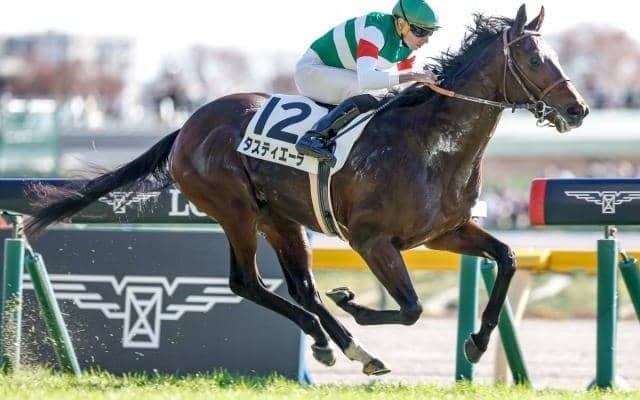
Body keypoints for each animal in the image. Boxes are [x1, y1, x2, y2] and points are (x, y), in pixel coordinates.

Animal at [25, 5, 588, 376]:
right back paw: (344, 341)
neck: (432, 145)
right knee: (247, 284)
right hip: (234, 210)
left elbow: (508, 258)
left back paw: (340, 345)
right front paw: (356, 304)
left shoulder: (445, 232)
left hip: (279, 216)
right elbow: (410, 308)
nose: (578, 109)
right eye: (534, 59)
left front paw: (475, 341)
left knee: (301, 288)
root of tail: (187, 125)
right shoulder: (372, 241)